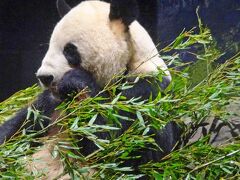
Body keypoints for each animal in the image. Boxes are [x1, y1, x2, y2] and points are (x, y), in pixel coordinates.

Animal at [0, 0, 181, 177]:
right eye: (50, 46)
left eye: (69, 50)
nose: (44, 77)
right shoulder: (49, 103)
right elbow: (21, 125)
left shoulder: (149, 93)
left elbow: (125, 146)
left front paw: (76, 80)